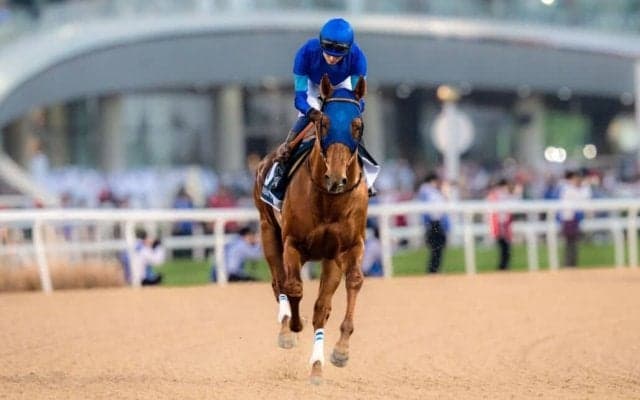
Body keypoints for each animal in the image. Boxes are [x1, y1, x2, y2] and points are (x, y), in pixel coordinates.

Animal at [253, 74, 369, 384]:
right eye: (324, 122)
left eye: (357, 125)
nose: (336, 178)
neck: (329, 199)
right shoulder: (293, 243)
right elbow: (292, 287)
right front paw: (293, 327)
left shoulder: (347, 247)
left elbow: (351, 284)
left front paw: (340, 351)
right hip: (268, 230)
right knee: (278, 281)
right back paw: (286, 329)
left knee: (320, 307)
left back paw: (317, 365)